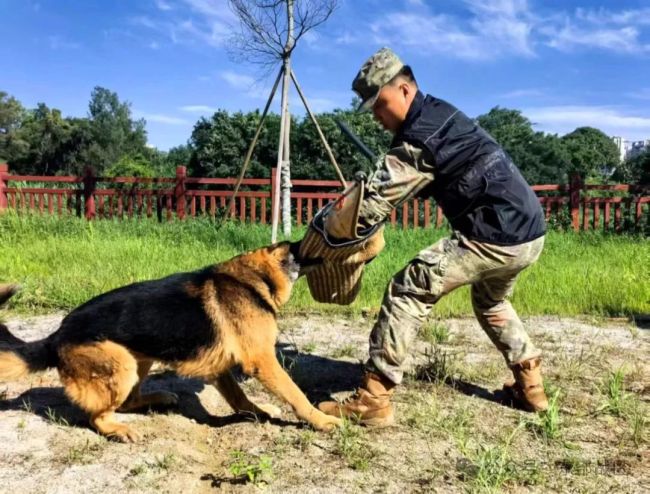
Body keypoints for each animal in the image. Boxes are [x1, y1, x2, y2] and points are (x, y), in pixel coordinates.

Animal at [0, 243, 342, 440]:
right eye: (297, 247)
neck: (252, 279)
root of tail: (57, 335)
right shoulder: (263, 362)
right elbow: (296, 395)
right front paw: (322, 421)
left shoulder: (220, 369)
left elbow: (239, 397)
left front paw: (256, 412)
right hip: (121, 365)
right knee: (98, 416)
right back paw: (118, 430)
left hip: (140, 360)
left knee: (128, 402)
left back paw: (160, 398)